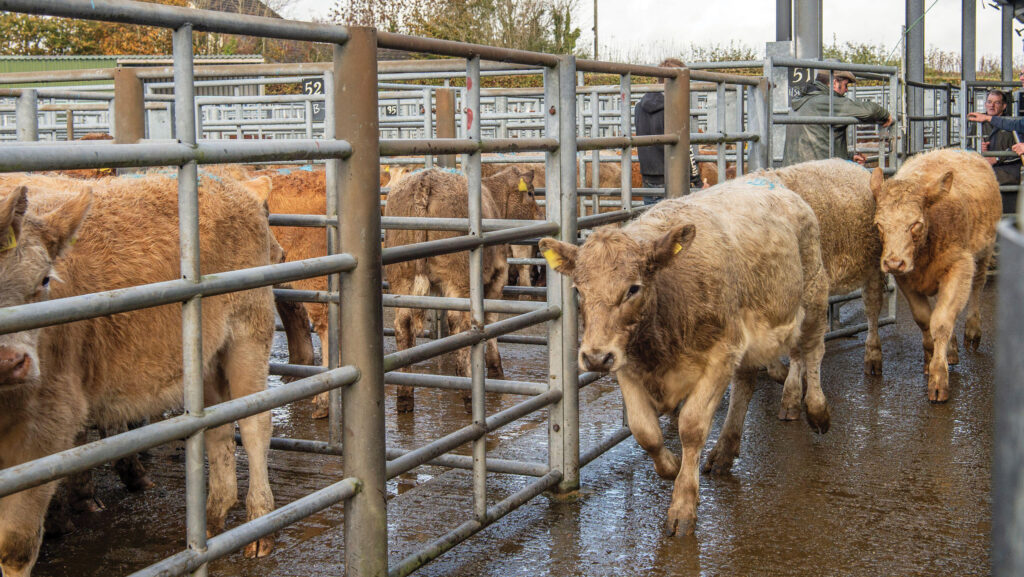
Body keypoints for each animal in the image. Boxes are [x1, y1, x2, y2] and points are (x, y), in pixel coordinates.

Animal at [0, 173, 278, 577]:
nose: (9, 361)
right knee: (217, 428)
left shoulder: (47, 422)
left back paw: (260, 525)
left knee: (256, 425)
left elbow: (15, 543)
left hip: (248, 336)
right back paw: (212, 520)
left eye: (44, 280)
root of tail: (234, 183)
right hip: (207, 360)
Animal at [380, 167, 536, 416]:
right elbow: (491, 318)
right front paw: (495, 368)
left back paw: (405, 396)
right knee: (460, 323)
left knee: (403, 325)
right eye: (530, 193)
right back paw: (469, 393)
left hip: (401, 277)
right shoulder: (497, 276)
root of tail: (425, 181)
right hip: (459, 279)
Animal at [540, 179, 827, 537]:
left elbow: (690, 428)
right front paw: (672, 466)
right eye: (578, 289)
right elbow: (644, 431)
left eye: (633, 288)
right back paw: (725, 450)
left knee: (812, 352)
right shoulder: (626, 364)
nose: (594, 357)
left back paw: (815, 410)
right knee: (746, 384)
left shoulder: (720, 356)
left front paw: (683, 505)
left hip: (813, 299)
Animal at [868, 147, 1003, 401]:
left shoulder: (960, 267)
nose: (893, 262)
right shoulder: (905, 278)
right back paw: (952, 348)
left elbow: (940, 322)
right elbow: (925, 318)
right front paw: (931, 358)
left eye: (915, 224)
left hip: (984, 254)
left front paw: (938, 378)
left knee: (977, 288)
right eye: (879, 224)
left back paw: (972, 332)